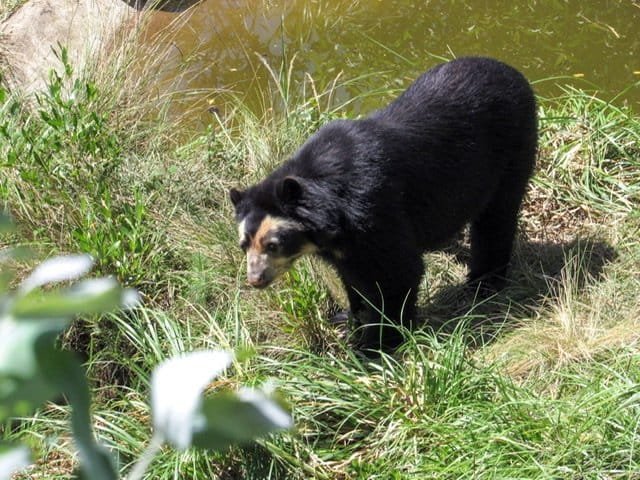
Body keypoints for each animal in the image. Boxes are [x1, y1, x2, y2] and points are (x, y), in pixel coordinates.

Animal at [229, 56, 536, 352]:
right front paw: (349, 318)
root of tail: (514, 73)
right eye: (244, 245)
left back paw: (483, 285)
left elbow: (398, 271)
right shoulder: (343, 246)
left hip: (512, 151)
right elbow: (352, 277)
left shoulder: (373, 208)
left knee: (496, 219)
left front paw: (377, 344)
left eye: (273, 244)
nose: (255, 279)